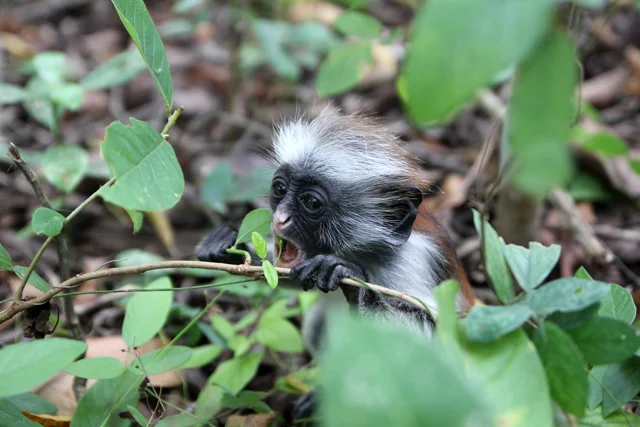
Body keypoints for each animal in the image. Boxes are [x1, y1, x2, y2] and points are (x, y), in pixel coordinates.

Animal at [196, 108, 474, 424]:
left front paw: (348, 275)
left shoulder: (416, 259)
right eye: (279, 188)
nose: (279, 218)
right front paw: (230, 248)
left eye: (311, 202)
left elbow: (434, 337)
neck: (363, 253)